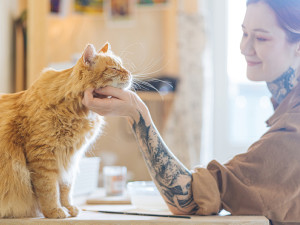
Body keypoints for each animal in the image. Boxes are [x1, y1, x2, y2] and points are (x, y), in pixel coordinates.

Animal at [0, 42, 131, 218]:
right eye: (114, 68)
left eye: (122, 65)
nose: (129, 74)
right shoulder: (43, 158)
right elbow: (49, 190)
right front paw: (54, 211)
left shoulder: (70, 158)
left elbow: (65, 189)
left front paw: (69, 208)